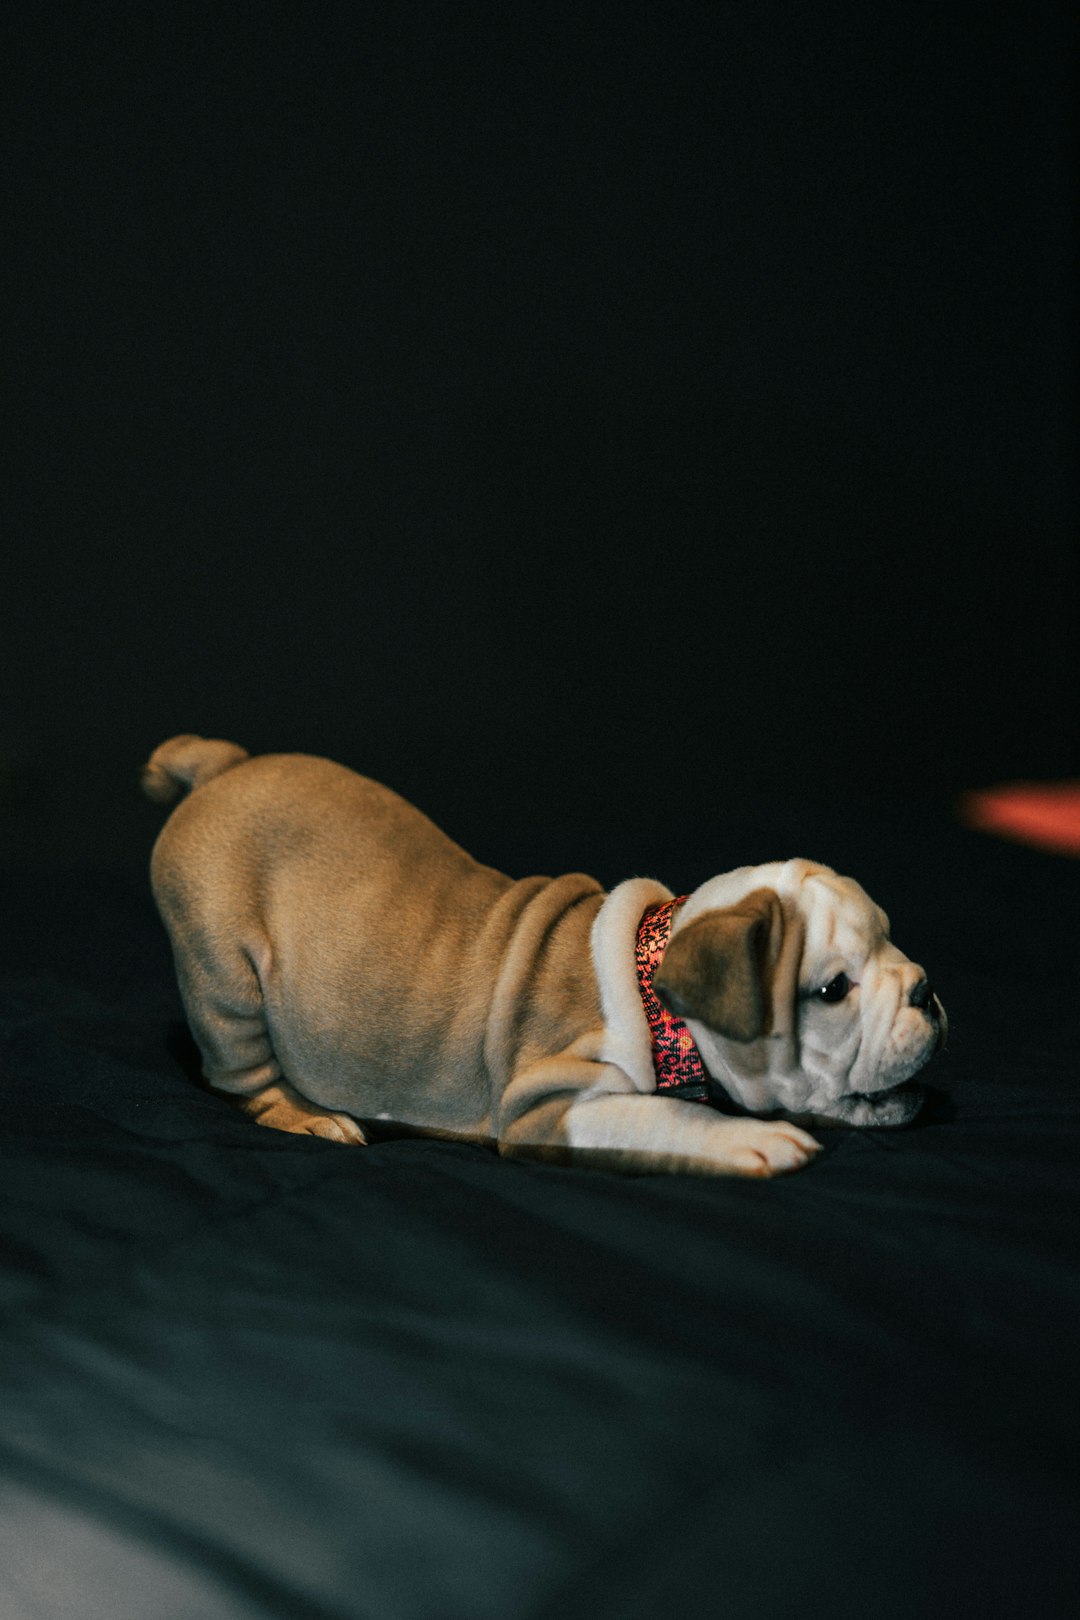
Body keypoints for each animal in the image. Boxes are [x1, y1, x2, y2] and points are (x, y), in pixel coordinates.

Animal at [143, 738, 945, 1179]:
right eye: (833, 990)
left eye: (892, 937)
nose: (926, 989)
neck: (654, 976)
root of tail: (224, 768)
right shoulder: (550, 1108)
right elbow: (663, 1118)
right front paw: (758, 1140)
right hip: (224, 975)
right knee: (242, 1076)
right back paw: (311, 1117)